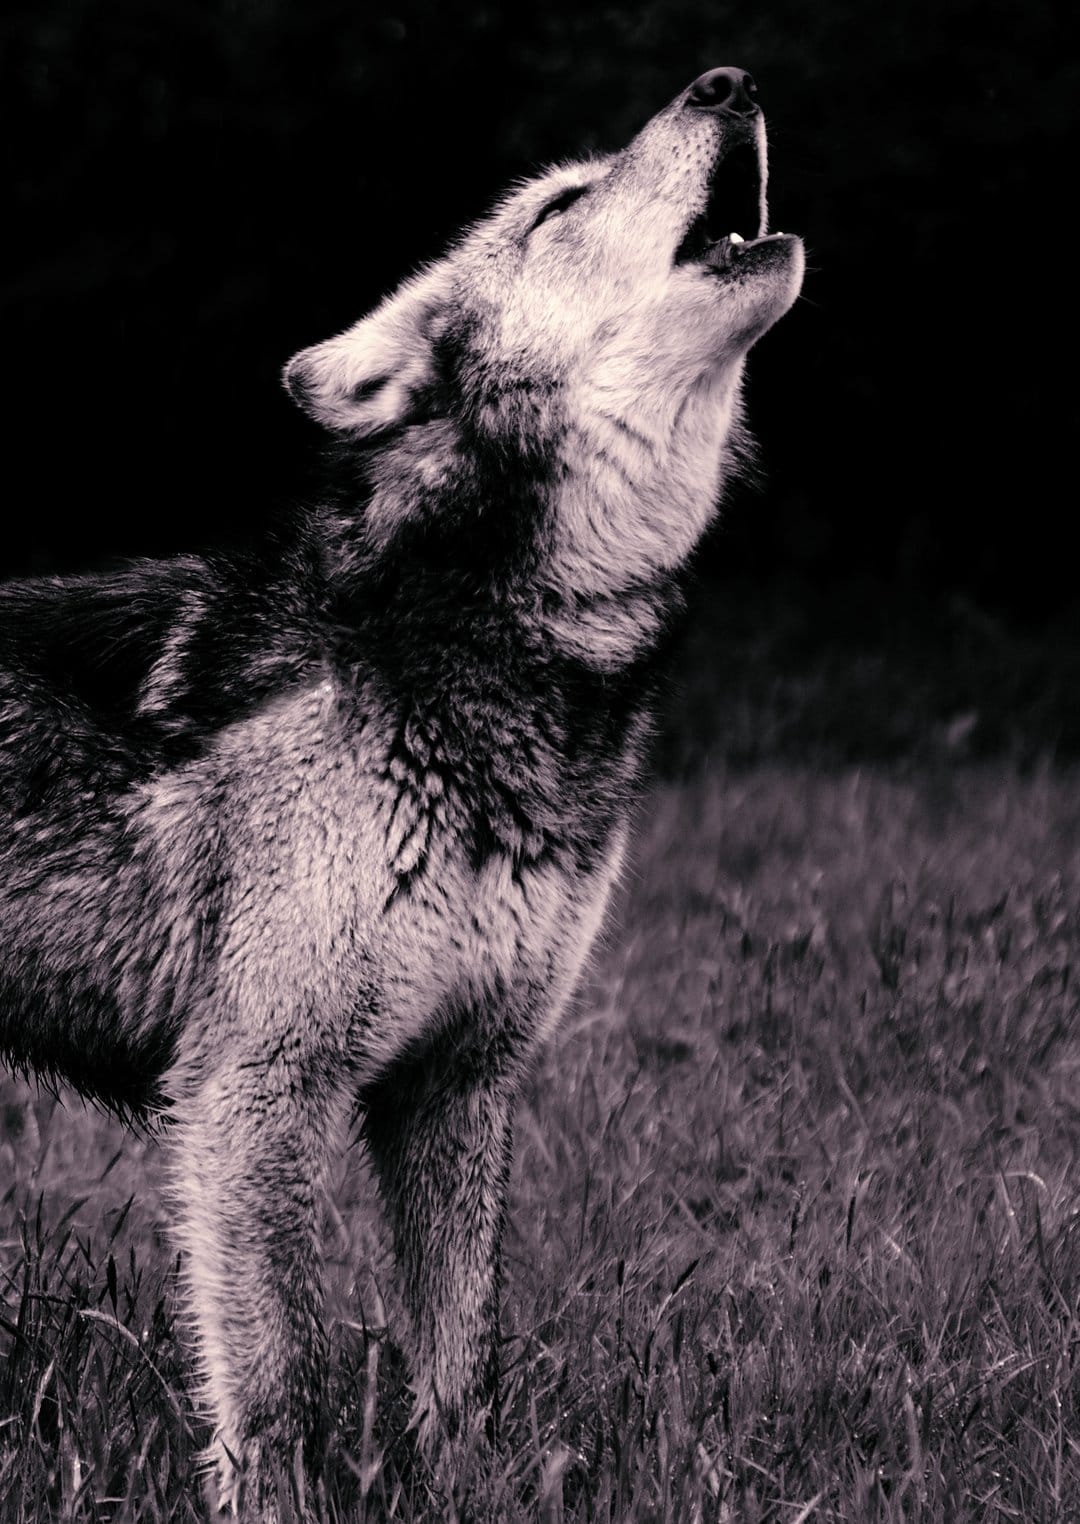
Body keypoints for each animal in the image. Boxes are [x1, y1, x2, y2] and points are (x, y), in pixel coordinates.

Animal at [0, 67, 802, 1517]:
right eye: (559, 203)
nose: (729, 81)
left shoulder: (461, 1080)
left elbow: (454, 1362)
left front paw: (467, 1486)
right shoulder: (255, 1089)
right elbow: (280, 1387)